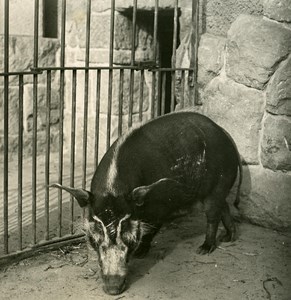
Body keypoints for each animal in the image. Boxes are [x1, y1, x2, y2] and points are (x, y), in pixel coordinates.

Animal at [51, 110, 243, 296]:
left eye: (129, 239)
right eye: (94, 239)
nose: (113, 290)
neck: (112, 190)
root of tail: (227, 137)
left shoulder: (159, 206)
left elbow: (151, 229)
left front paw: (140, 254)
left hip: (216, 187)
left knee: (213, 216)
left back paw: (203, 249)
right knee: (225, 207)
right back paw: (228, 238)